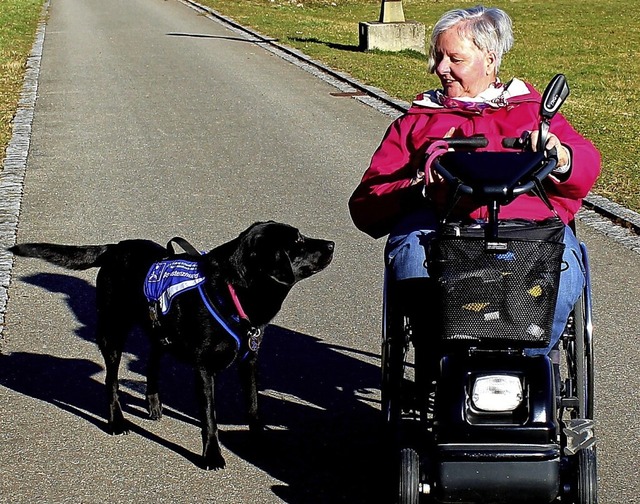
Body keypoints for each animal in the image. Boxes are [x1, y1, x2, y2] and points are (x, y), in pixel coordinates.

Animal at [10, 222, 336, 470]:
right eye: (297, 241)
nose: (332, 244)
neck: (232, 290)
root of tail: (114, 247)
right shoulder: (204, 370)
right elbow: (209, 418)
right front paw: (211, 456)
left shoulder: (249, 362)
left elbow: (254, 408)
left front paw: (259, 444)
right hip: (113, 331)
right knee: (111, 380)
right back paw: (116, 420)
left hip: (160, 330)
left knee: (153, 360)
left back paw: (153, 402)